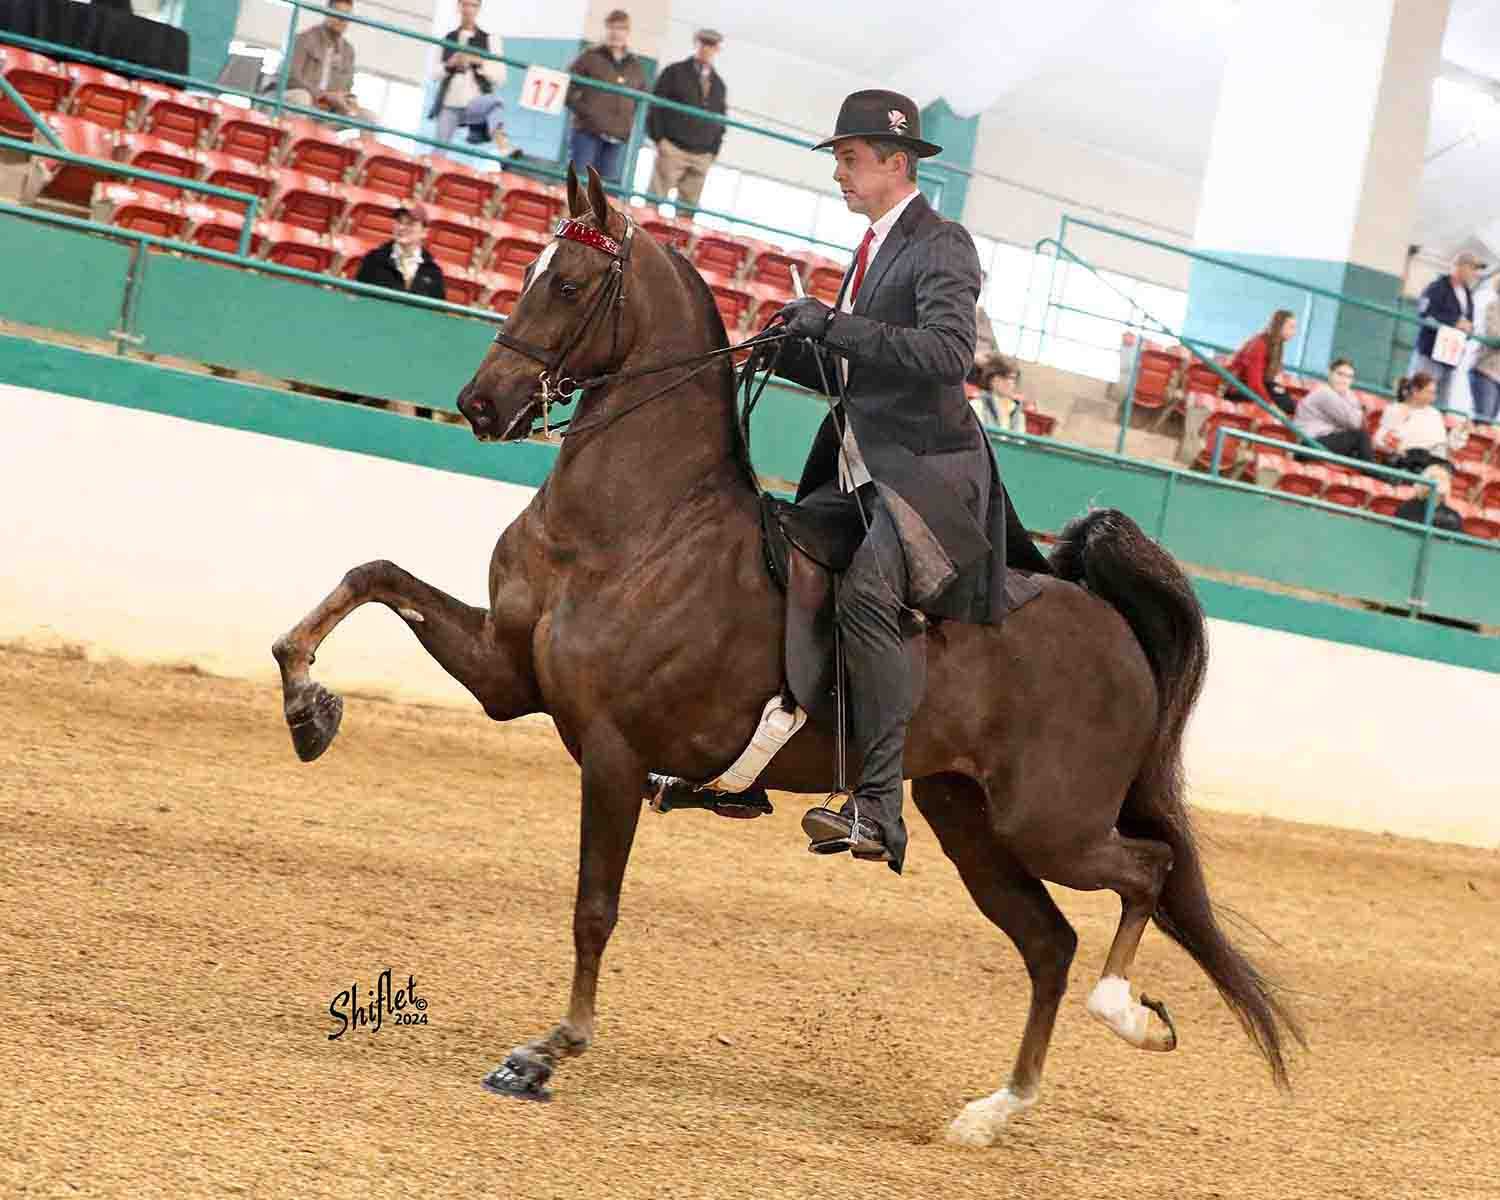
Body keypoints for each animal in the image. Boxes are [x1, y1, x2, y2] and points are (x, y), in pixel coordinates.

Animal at [272, 165, 1301, 1146]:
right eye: (525, 268)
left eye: (565, 284)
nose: (481, 404)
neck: (637, 525)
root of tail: (1107, 622)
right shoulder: (505, 673)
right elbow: (371, 576)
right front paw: (307, 707)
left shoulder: (611, 749)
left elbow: (594, 905)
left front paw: (546, 1052)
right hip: (968, 820)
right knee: (1049, 943)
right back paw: (992, 1111)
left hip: (1051, 822)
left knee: (1145, 875)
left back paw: (1126, 1015)